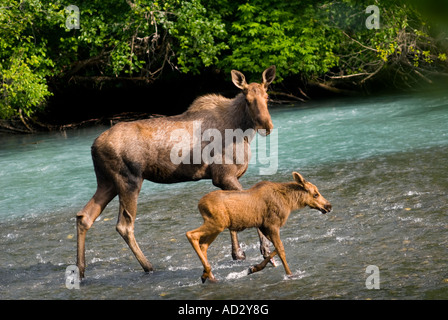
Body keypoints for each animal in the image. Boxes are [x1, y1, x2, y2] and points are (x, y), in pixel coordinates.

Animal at [76, 65, 276, 278]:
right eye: (247, 99)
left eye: (267, 96)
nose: (267, 126)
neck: (241, 130)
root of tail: (93, 146)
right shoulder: (224, 174)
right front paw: (265, 252)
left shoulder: (224, 178)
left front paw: (238, 253)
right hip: (129, 180)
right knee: (124, 225)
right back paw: (149, 267)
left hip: (107, 182)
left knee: (84, 217)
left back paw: (80, 270)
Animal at [185, 171, 328, 284]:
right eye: (315, 194)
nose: (328, 206)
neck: (289, 202)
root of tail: (199, 204)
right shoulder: (272, 225)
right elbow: (280, 249)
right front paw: (290, 274)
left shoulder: (264, 226)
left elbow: (274, 249)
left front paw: (253, 268)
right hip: (216, 224)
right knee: (191, 234)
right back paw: (208, 273)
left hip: (216, 227)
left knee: (203, 245)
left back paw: (208, 276)